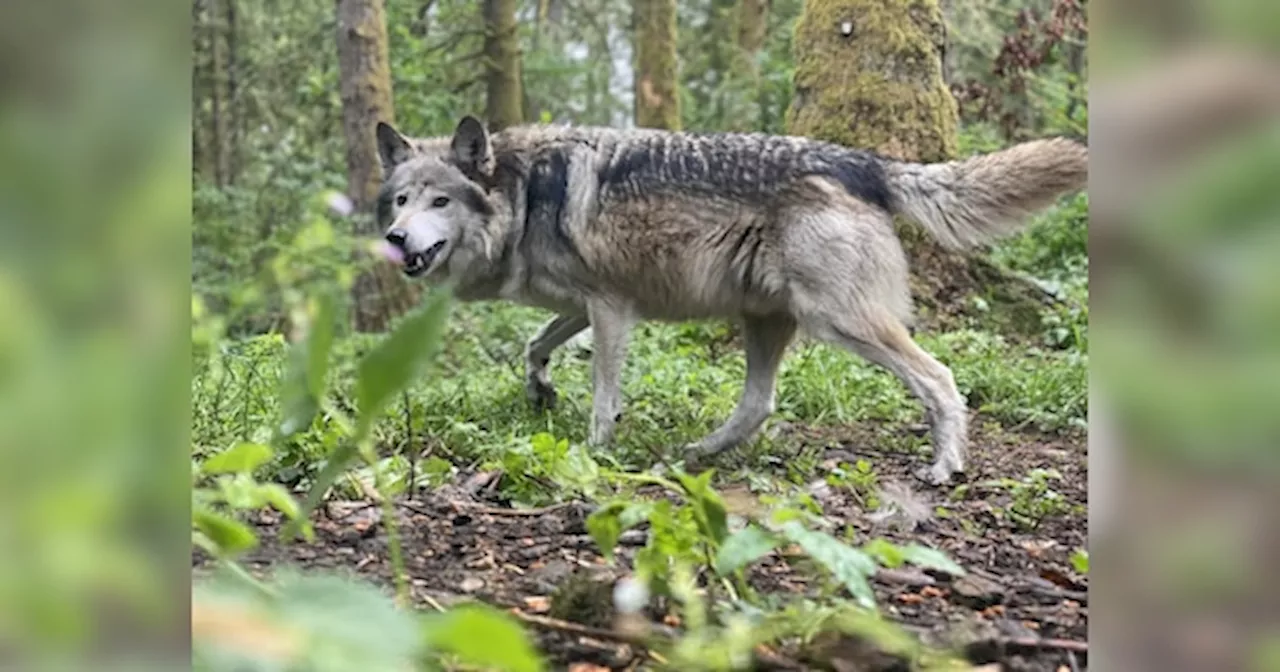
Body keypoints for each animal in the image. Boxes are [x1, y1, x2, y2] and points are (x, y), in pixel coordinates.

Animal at [373, 115, 1085, 481]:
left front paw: (596, 455)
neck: (524, 193)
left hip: (838, 322)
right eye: (402, 200)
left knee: (940, 377)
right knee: (758, 405)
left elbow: (602, 398)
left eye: (440, 201)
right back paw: (697, 455)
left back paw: (945, 465)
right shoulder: (582, 305)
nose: (394, 239)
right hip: (766, 321)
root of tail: (866, 162)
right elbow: (532, 345)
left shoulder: (610, 306)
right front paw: (541, 391)